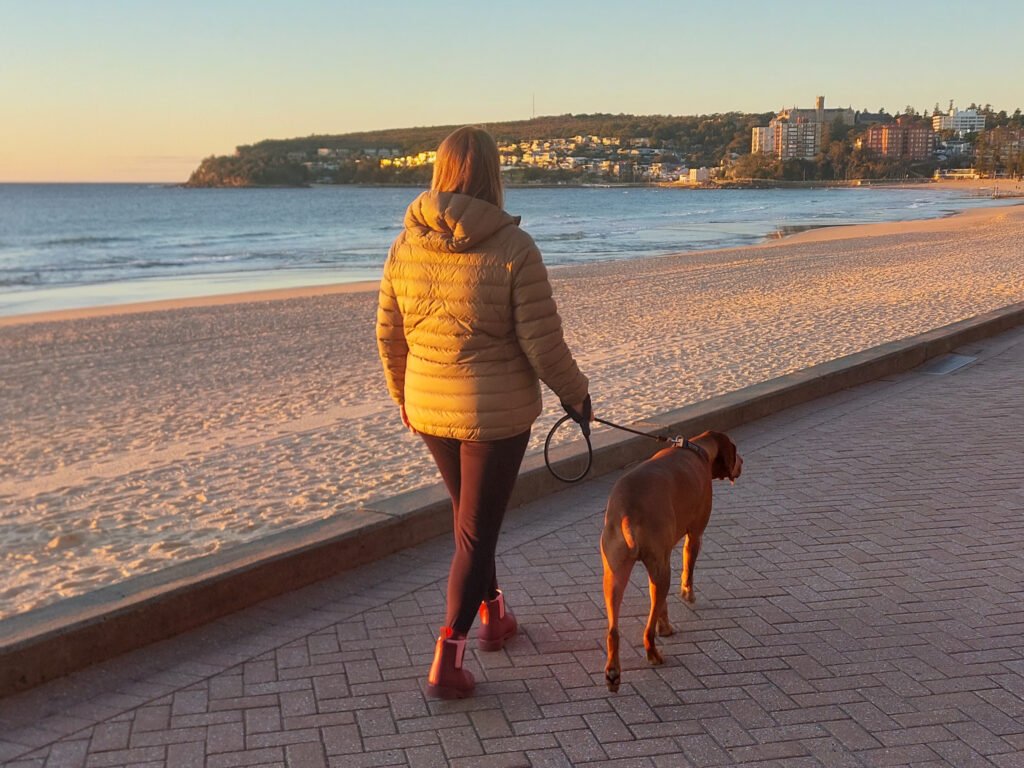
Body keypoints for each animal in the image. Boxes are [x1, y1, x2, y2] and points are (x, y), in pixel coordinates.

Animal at [598, 430, 741, 696]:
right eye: (736, 451)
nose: (742, 463)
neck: (696, 448)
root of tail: (627, 513)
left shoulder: (659, 561)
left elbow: (661, 606)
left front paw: (664, 624)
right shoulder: (694, 535)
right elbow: (688, 570)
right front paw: (688, 595)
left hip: (616, 574)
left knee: (614, 631)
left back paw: (613, 673)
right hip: (658, 569)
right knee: (647, 630)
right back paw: (654, 654)